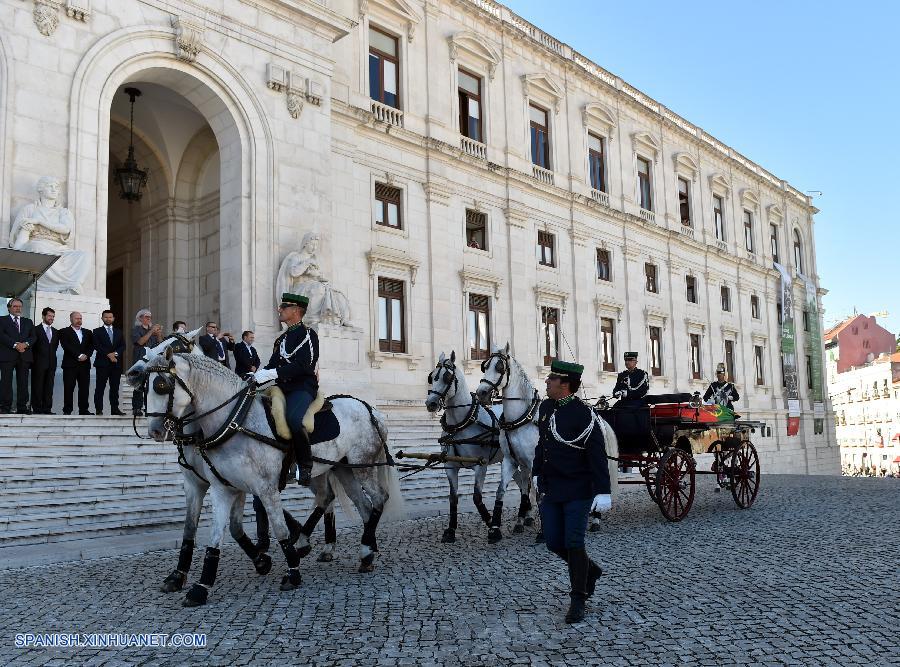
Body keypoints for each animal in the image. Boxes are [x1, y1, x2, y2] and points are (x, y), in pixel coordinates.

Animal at [424, 352, 506, 544]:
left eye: (447, 377)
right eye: (432, 376)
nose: (431, 403)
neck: (461, 425)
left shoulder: (480, 466)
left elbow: (476, 497)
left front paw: (492, 524)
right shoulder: (450, 466)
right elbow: (453, 498)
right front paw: (451, 530)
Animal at [472, 344, 620, 536]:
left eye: (499, 367)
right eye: (485, 366)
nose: (481, 393)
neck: (520, 419)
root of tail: (599, 417)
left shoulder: (535, 462)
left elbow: (538, 493)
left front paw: (543, 531)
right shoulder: (512, 461)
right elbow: (504, 491)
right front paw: (497, 528)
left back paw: (595, 518)